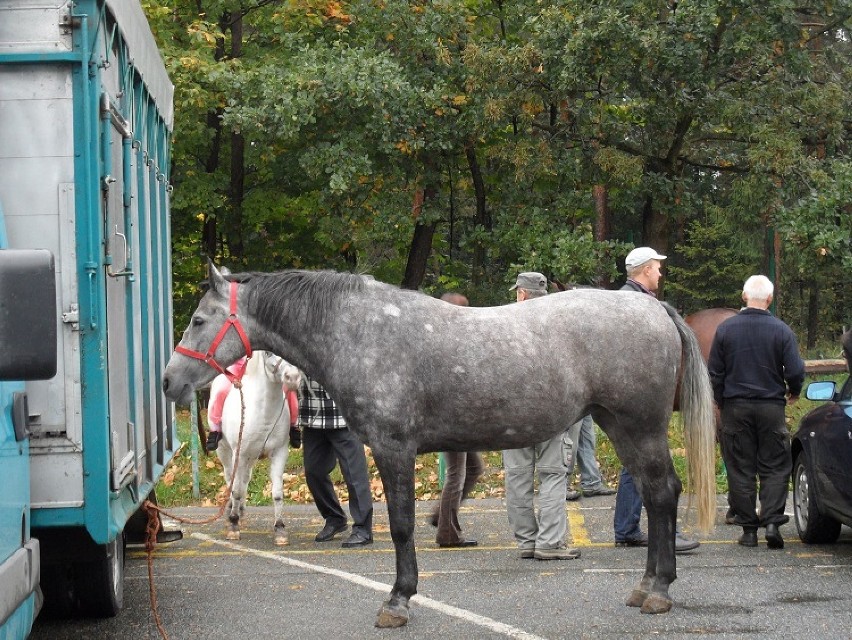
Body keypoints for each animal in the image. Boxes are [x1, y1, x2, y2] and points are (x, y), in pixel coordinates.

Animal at [216, 350, 302, 544]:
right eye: (268, 353)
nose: (292, 377)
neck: (262, 412)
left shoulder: (279, 453)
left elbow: (277, 492)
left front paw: (280, 529)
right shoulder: (239, 454)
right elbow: (236, 490)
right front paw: (234, 525)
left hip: (250, 458)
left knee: (244, 479)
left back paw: (240, 510)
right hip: (225, 452)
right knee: (230, 478)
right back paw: (232, 510)